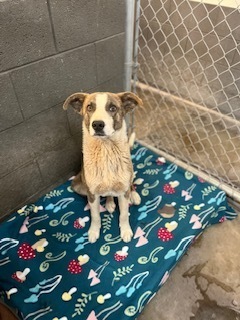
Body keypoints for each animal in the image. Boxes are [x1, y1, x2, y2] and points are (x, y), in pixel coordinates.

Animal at [63, 91, 142, 244]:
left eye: (112, 108)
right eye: (89, 107)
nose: (97, 124)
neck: (106, 150)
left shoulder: (123, 192)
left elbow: (124, 214)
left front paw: (125, 231)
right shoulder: (92, 193)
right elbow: (95, 216)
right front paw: (94, 231)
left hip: (130, 175)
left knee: (130, 184)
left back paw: (134, 195)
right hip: (78, 186)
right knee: (108, 193)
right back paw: (110, 203)